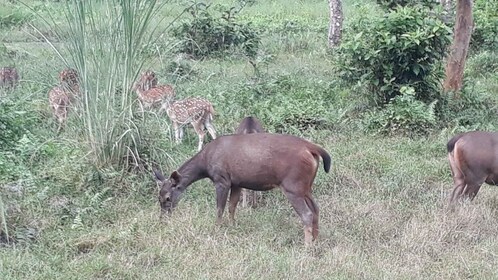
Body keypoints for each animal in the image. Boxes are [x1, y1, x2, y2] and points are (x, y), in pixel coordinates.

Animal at [153, 132, 330, 246]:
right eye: (158, 197)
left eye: (168, 197)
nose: (162, 219)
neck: (205, 163)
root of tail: (313, 149)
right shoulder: (237, 182)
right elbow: (232, 206)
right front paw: (233, 226)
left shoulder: (222, 179)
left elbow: (220, 208)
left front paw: (217, 229)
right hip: (305, 186)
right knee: (316, 209)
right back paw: (316, 240)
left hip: (292, 185)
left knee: (307, 213)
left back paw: (307, 246)